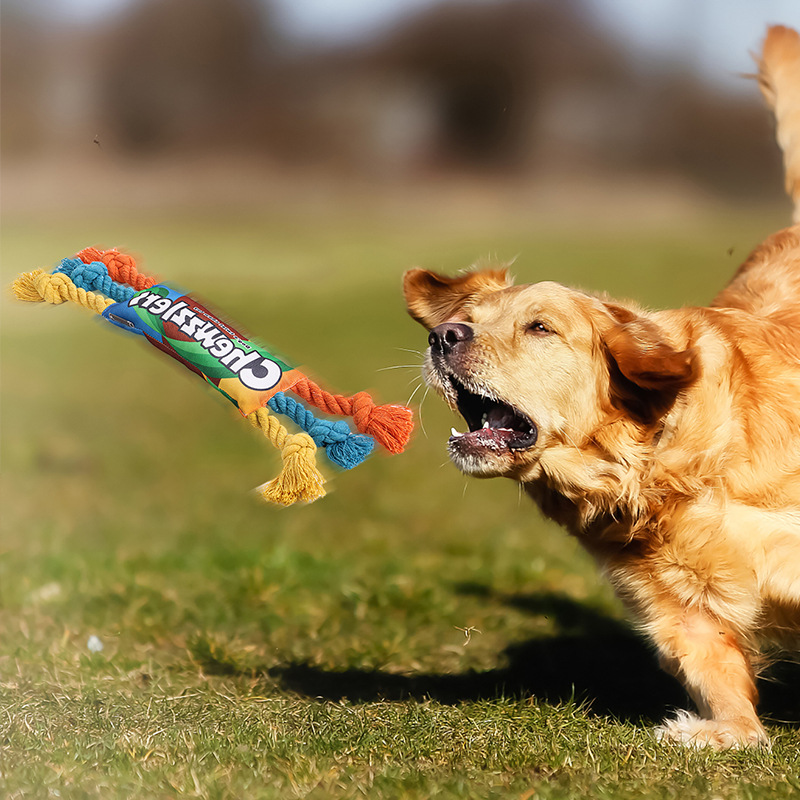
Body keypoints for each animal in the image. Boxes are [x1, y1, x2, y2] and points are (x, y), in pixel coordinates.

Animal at [404, 26, 800, 752]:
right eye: (468, 318)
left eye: (540, 327)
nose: (444, 335)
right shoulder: (677, 608)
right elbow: (730, 701)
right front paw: (714, 731)